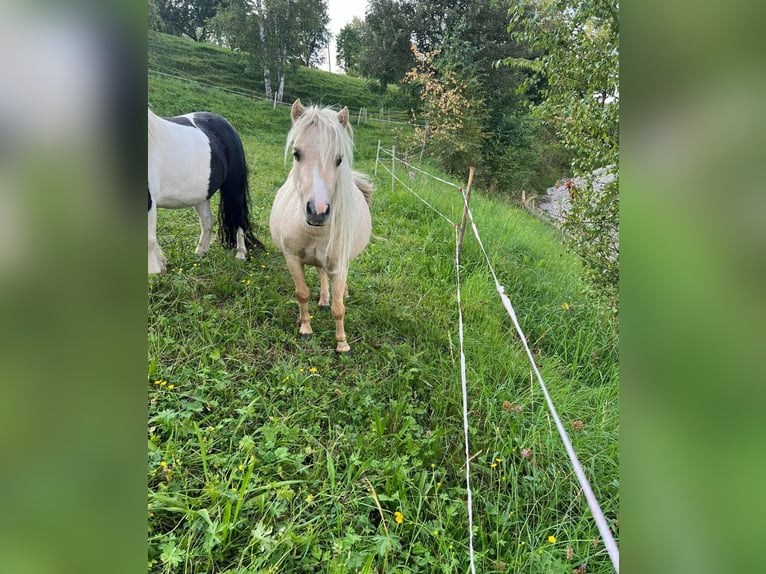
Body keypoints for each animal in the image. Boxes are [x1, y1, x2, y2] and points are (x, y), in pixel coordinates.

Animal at [148, 108, 266, 274]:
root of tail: (227, 125)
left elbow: (149, 239)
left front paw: (154, 273)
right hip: (201, 196)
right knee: (207, 222)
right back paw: (200, 253)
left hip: (233, 190)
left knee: (239, 219)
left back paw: (241, 254)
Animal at [272, 102, 374, 356]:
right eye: (296, 154)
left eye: (339, 159)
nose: (317, 211)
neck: (315, 231)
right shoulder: (292, 258)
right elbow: (302, 293)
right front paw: (305, 327)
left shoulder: (339, 265)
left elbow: (339, 308)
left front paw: (342, 343)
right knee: (321, 274)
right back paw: (323, 300)